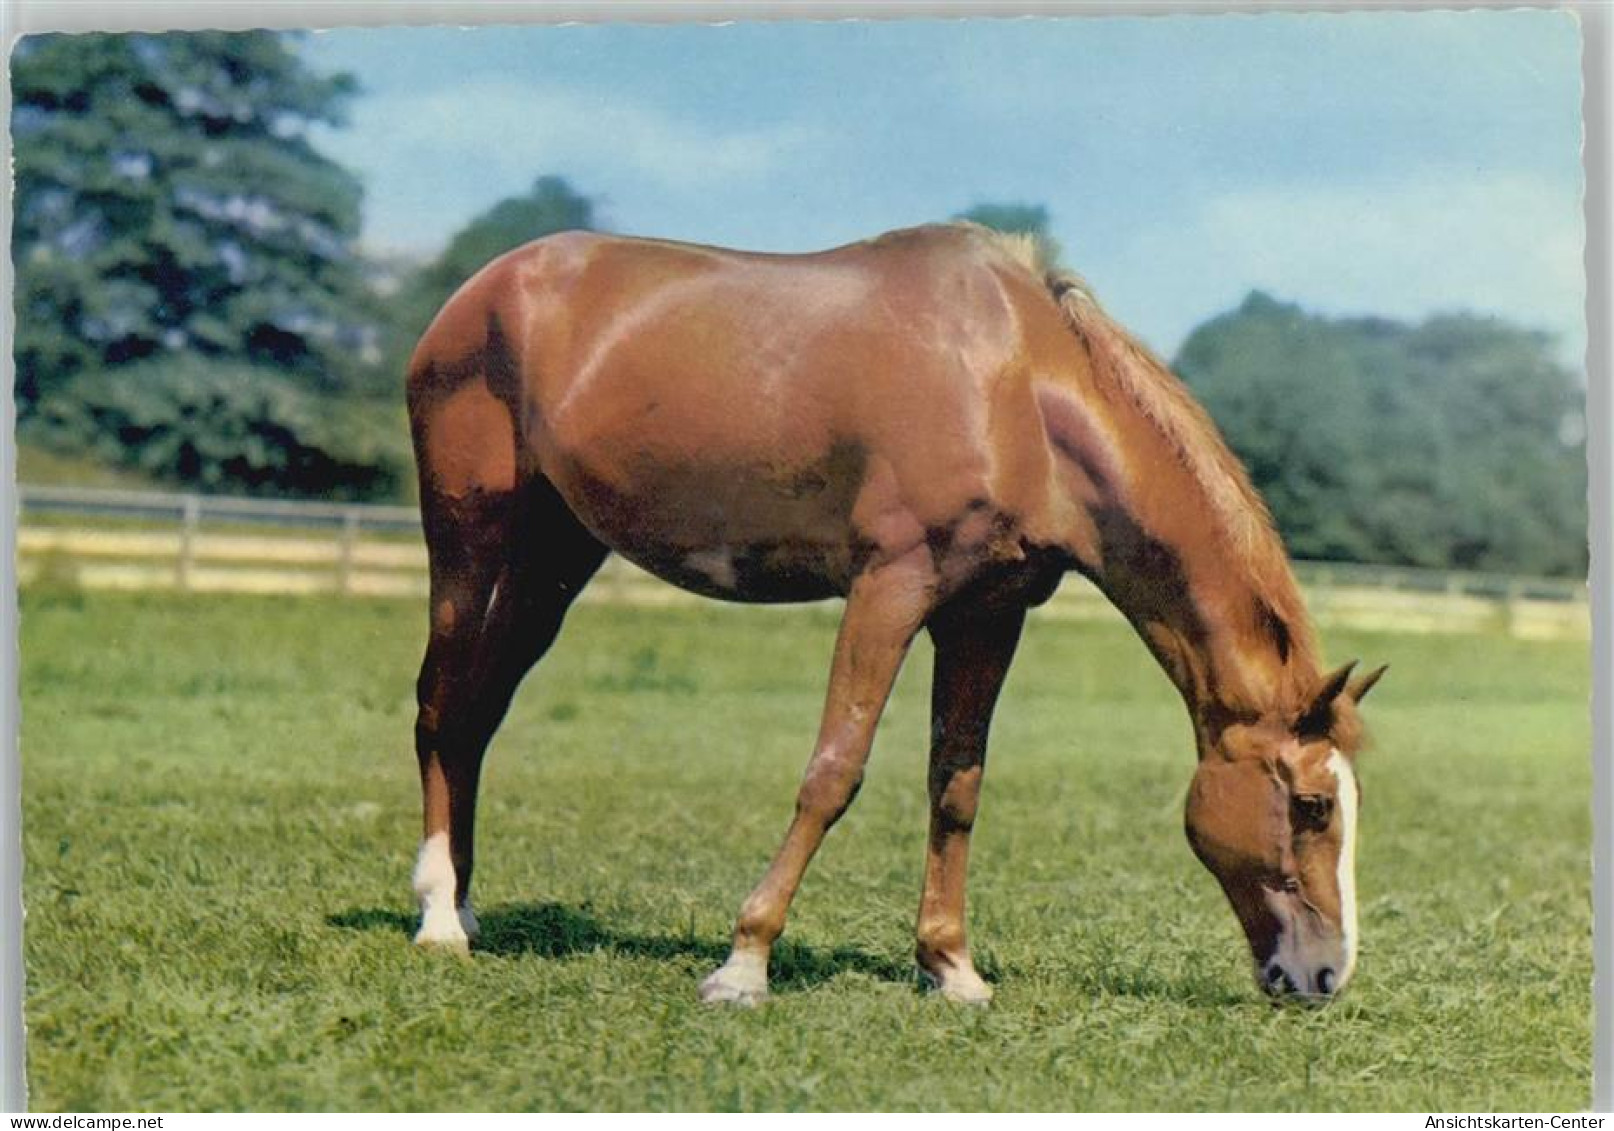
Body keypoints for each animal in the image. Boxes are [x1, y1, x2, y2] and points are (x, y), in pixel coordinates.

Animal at [403, 222, 1388, 1006]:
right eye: (1310, 804)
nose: (1326, 974)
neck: (1021, 390)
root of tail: (481, 291)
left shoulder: (987, 613)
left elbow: (957, 784)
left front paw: (950, 966)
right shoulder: (891, 587)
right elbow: (833, 771)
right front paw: (744, 962)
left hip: (555, 556)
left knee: (479, 711)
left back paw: (467, 902)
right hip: (469, 538)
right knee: (442, 703)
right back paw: (438, 915)